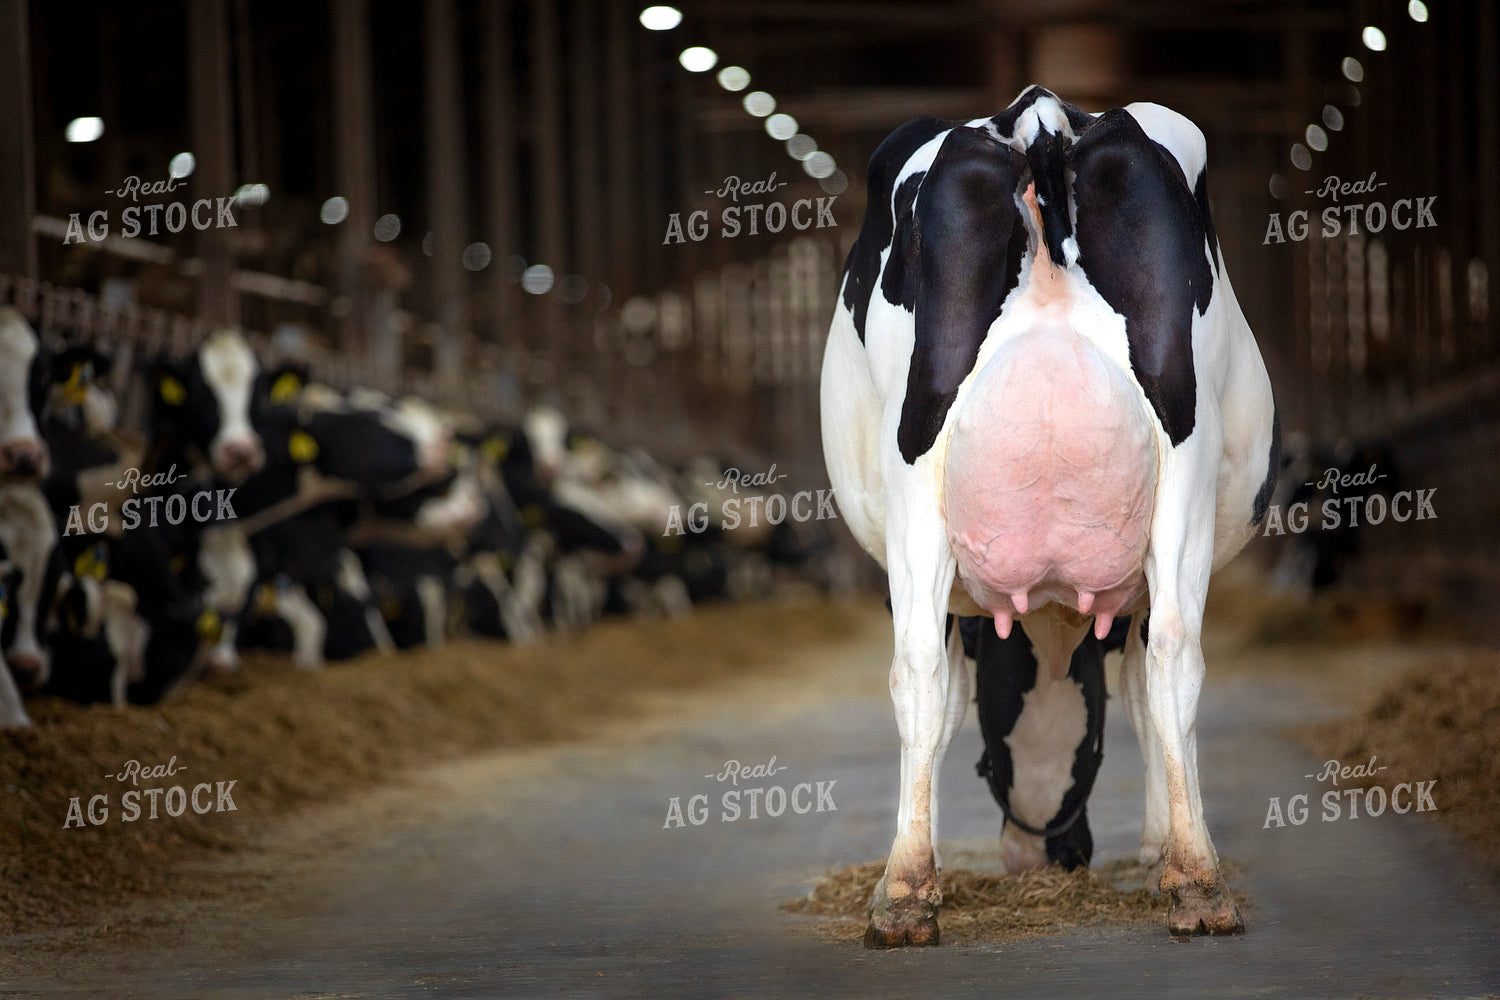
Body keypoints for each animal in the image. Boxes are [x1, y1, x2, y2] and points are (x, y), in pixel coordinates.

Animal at [820, 85, 1279, 946]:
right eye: (997, 763)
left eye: (1088, 753)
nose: (1048, 856)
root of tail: (1040, 116)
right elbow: (1139, 689)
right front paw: (1160, 845)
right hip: (1183, 469)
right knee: (1174, 652)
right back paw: (1196, 882)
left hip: (916, 486)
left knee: (921, 671)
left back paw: (905, 890)